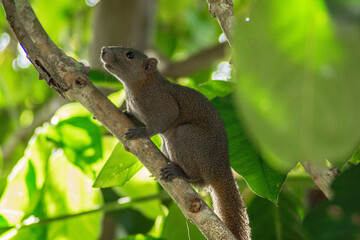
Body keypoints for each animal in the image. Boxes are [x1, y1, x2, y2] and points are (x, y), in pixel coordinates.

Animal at [100, 46, 249, 239]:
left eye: (130, 55)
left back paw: (179, 172)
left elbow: (165, 118)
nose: (104, 50)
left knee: (198, 179)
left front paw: (142, 132)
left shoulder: (163, 103)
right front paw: (123, 114)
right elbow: (133, 117)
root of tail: (220, 168)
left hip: (185, 135)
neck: (141, 86)